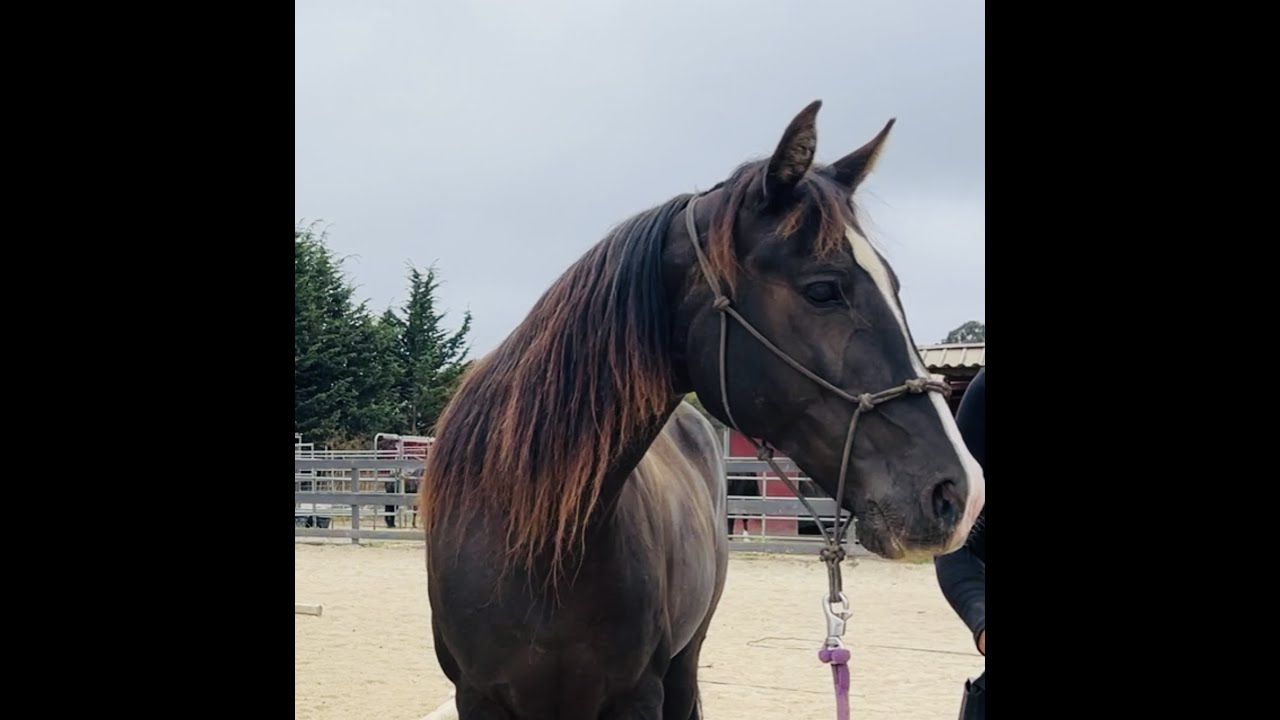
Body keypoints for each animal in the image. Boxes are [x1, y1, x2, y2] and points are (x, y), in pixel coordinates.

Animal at [421, 100, 986, 719]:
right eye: (823, 289)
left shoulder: (639, 695)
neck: (540, 552)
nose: (960, 492)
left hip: (687, 656)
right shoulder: (477, 697)